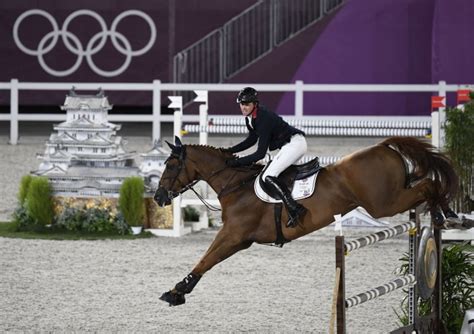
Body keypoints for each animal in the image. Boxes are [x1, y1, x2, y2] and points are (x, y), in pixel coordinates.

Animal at [154, 135, 458, 306]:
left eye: (171, 165)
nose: (158, 197)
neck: (236, 185)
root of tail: (384, 147)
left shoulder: (232, 235)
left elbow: (206, 259)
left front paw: (176, 291)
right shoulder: (240, 241)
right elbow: (209, 259)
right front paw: (179, 290)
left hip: (384, 204)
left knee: (428, 185)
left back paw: (445, 213)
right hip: (392, 196)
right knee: (425, 184)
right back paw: (444, 214)